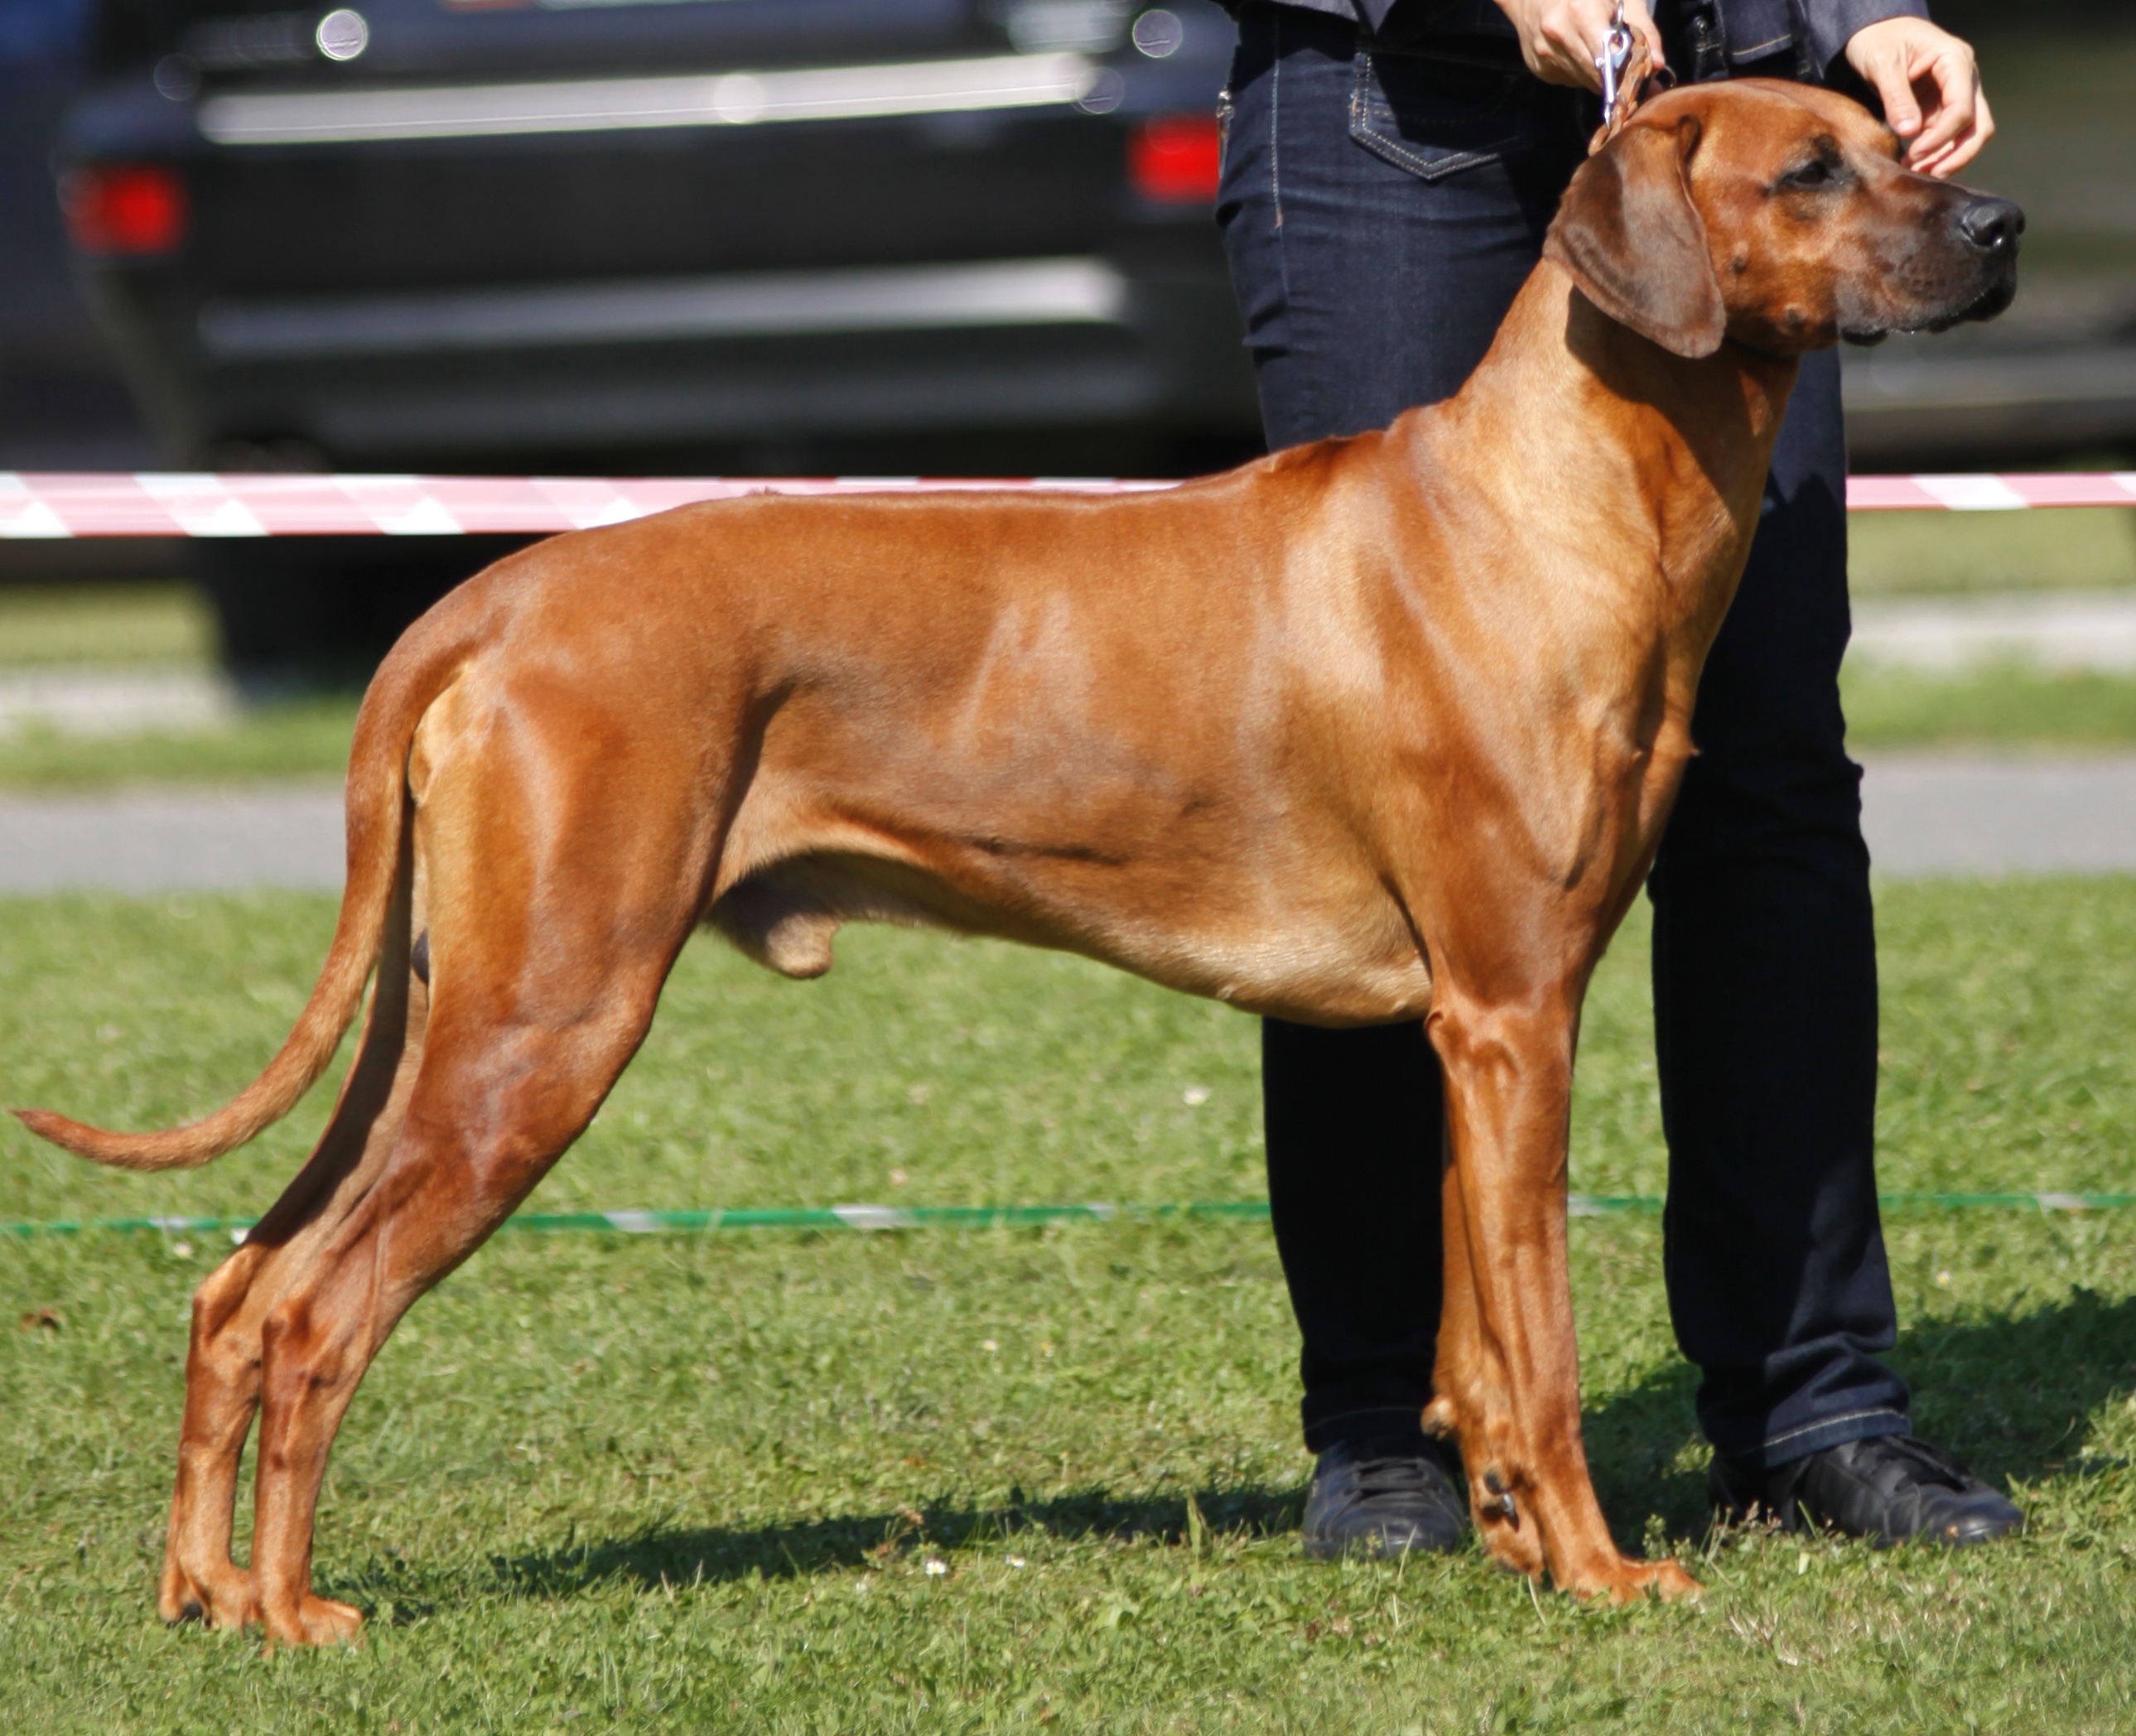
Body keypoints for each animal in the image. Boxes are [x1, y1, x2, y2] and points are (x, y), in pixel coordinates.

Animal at [21, 78, 2016, 1639]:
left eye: (1893, 136)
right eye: (1808, 171)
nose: (1998, 221)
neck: (1554, 496)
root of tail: (483, 596)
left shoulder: (1470, 1025)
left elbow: (1478, 1339)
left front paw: (1521, 1549)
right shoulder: (1514, 1014)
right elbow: (1538, 1348)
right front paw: (1597, 1572)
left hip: (447, 1013)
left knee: (232, 1285)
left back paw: (201, 1592)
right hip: (545, 1018)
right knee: (313, 1307)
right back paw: (292, 1611)